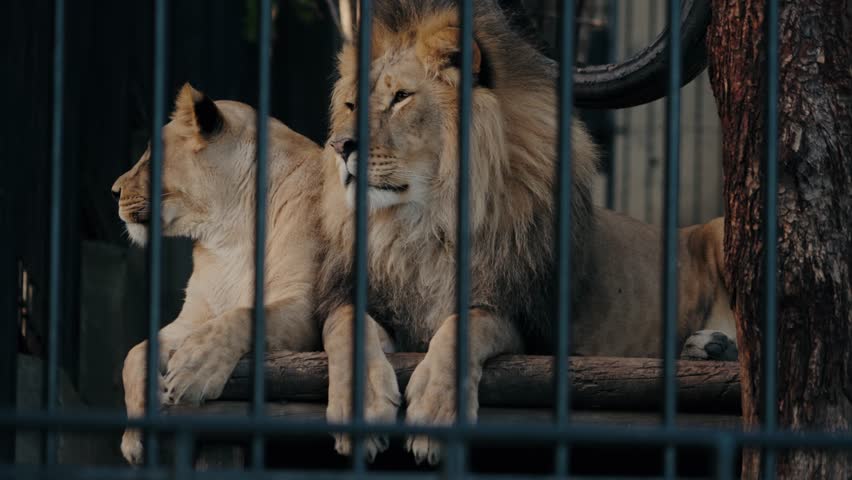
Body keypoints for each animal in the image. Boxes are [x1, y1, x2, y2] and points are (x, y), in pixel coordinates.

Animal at [112, 84, 325, 465]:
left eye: (152, 158)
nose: (114, 191)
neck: (230, 231)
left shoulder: (304, 305)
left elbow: (243, 316)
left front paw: (195, 369)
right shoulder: (193, 317)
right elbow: (135, 352)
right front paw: (135, 438)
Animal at [316, 0, 736, 465]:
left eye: (401, 98)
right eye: (351, 104)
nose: (340, 146)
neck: (425, 222)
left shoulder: (528, 324)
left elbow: (467, 324)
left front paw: (435, 412)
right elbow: (343, 324)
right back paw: (710, 348)